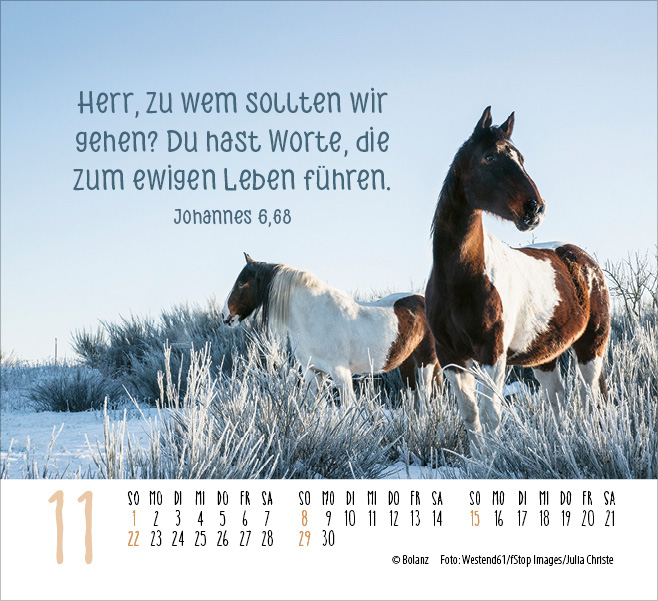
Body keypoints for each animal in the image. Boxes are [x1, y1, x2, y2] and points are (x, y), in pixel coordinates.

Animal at [221, 253, 442, 404]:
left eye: (241, 283)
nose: (225, 316)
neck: (313, 316)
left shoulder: (341, 373)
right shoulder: (312, 371)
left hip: (426, 361)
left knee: (425, 396)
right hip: (406, 362)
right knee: (414, 395)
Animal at [425, 106, 610, 449]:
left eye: (520, 158)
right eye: (489, 158)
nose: (535, 208)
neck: (459, 278)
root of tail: (585, 260)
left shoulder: (492, 355)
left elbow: (491, 416)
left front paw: (493, 459)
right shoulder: (451, 358)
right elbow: (471, 417)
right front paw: (477, 459)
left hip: (591, 347)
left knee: (591, 397)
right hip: (545, 357)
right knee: (558, 399)